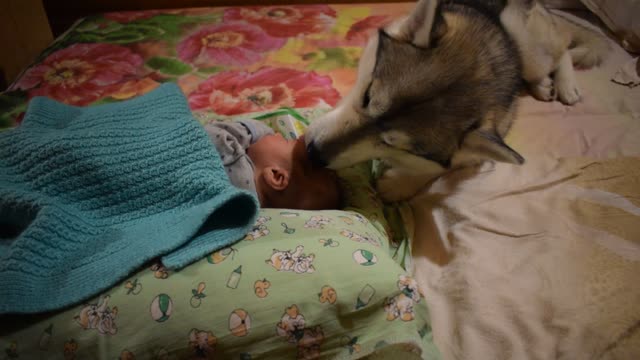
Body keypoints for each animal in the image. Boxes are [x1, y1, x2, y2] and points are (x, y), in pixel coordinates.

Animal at [308, 0, 608, 202]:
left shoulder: (484, 142)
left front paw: (400, 184)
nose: (312, 154)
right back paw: (545, 85)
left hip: (527, 44)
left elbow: (444, 167)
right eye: (367, 95)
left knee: (562, 50)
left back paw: (566, 85)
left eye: (393, 144)